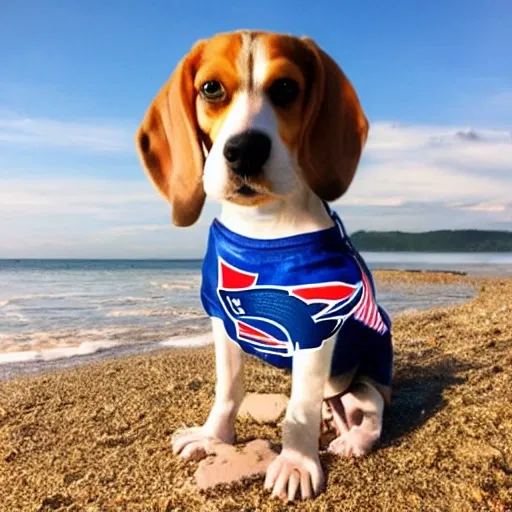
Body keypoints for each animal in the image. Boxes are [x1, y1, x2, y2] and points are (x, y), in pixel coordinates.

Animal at [135, 30, 392, 502]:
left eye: (286, 88)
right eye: (211, 88)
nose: (245, 150)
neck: (264, 227)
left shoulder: (313, 329)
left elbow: (300, 408)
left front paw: (296, 462)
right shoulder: (222, 319)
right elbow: (228, 389)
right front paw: (213, 436)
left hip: (367, 380)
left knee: (373, 411)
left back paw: (352, 438)